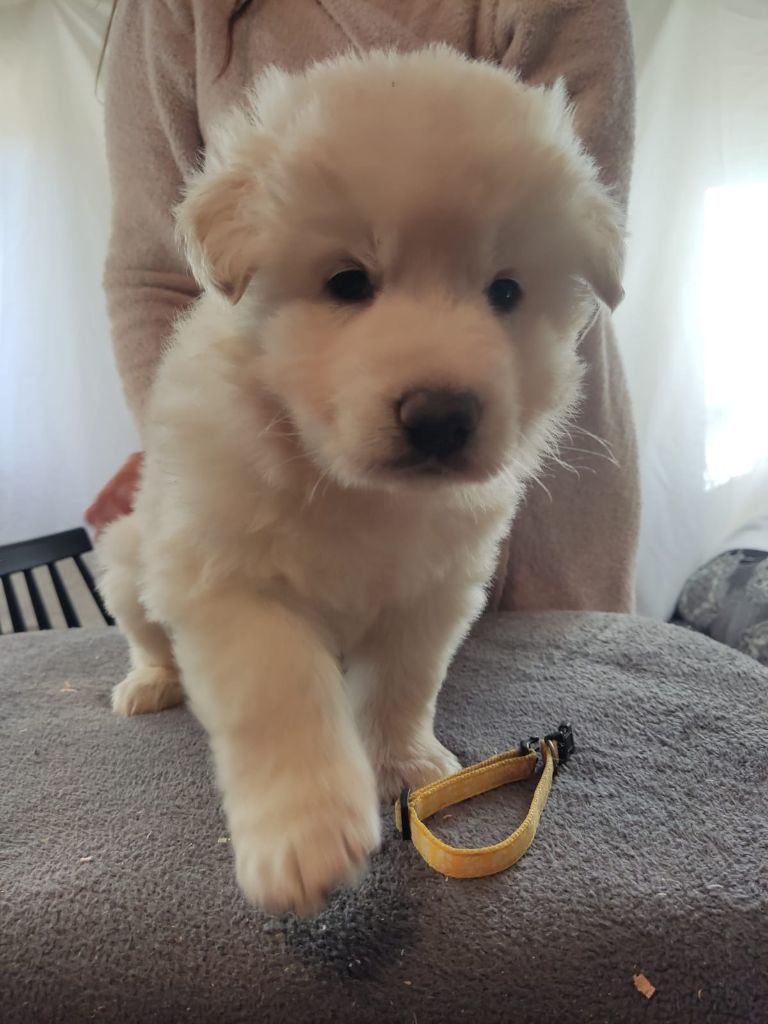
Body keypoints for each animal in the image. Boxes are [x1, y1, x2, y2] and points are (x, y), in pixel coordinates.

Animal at [97, 44, 626, 917]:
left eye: (506, 291)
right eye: (348, 282)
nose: (441, 417)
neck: (356, 491)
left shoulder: (433, 589)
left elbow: (402, 684)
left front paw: (402, 766)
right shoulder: (228, 578)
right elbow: (280, 692)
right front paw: (305, 837)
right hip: (131, 561)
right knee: (147, 634)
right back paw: (150, 684)